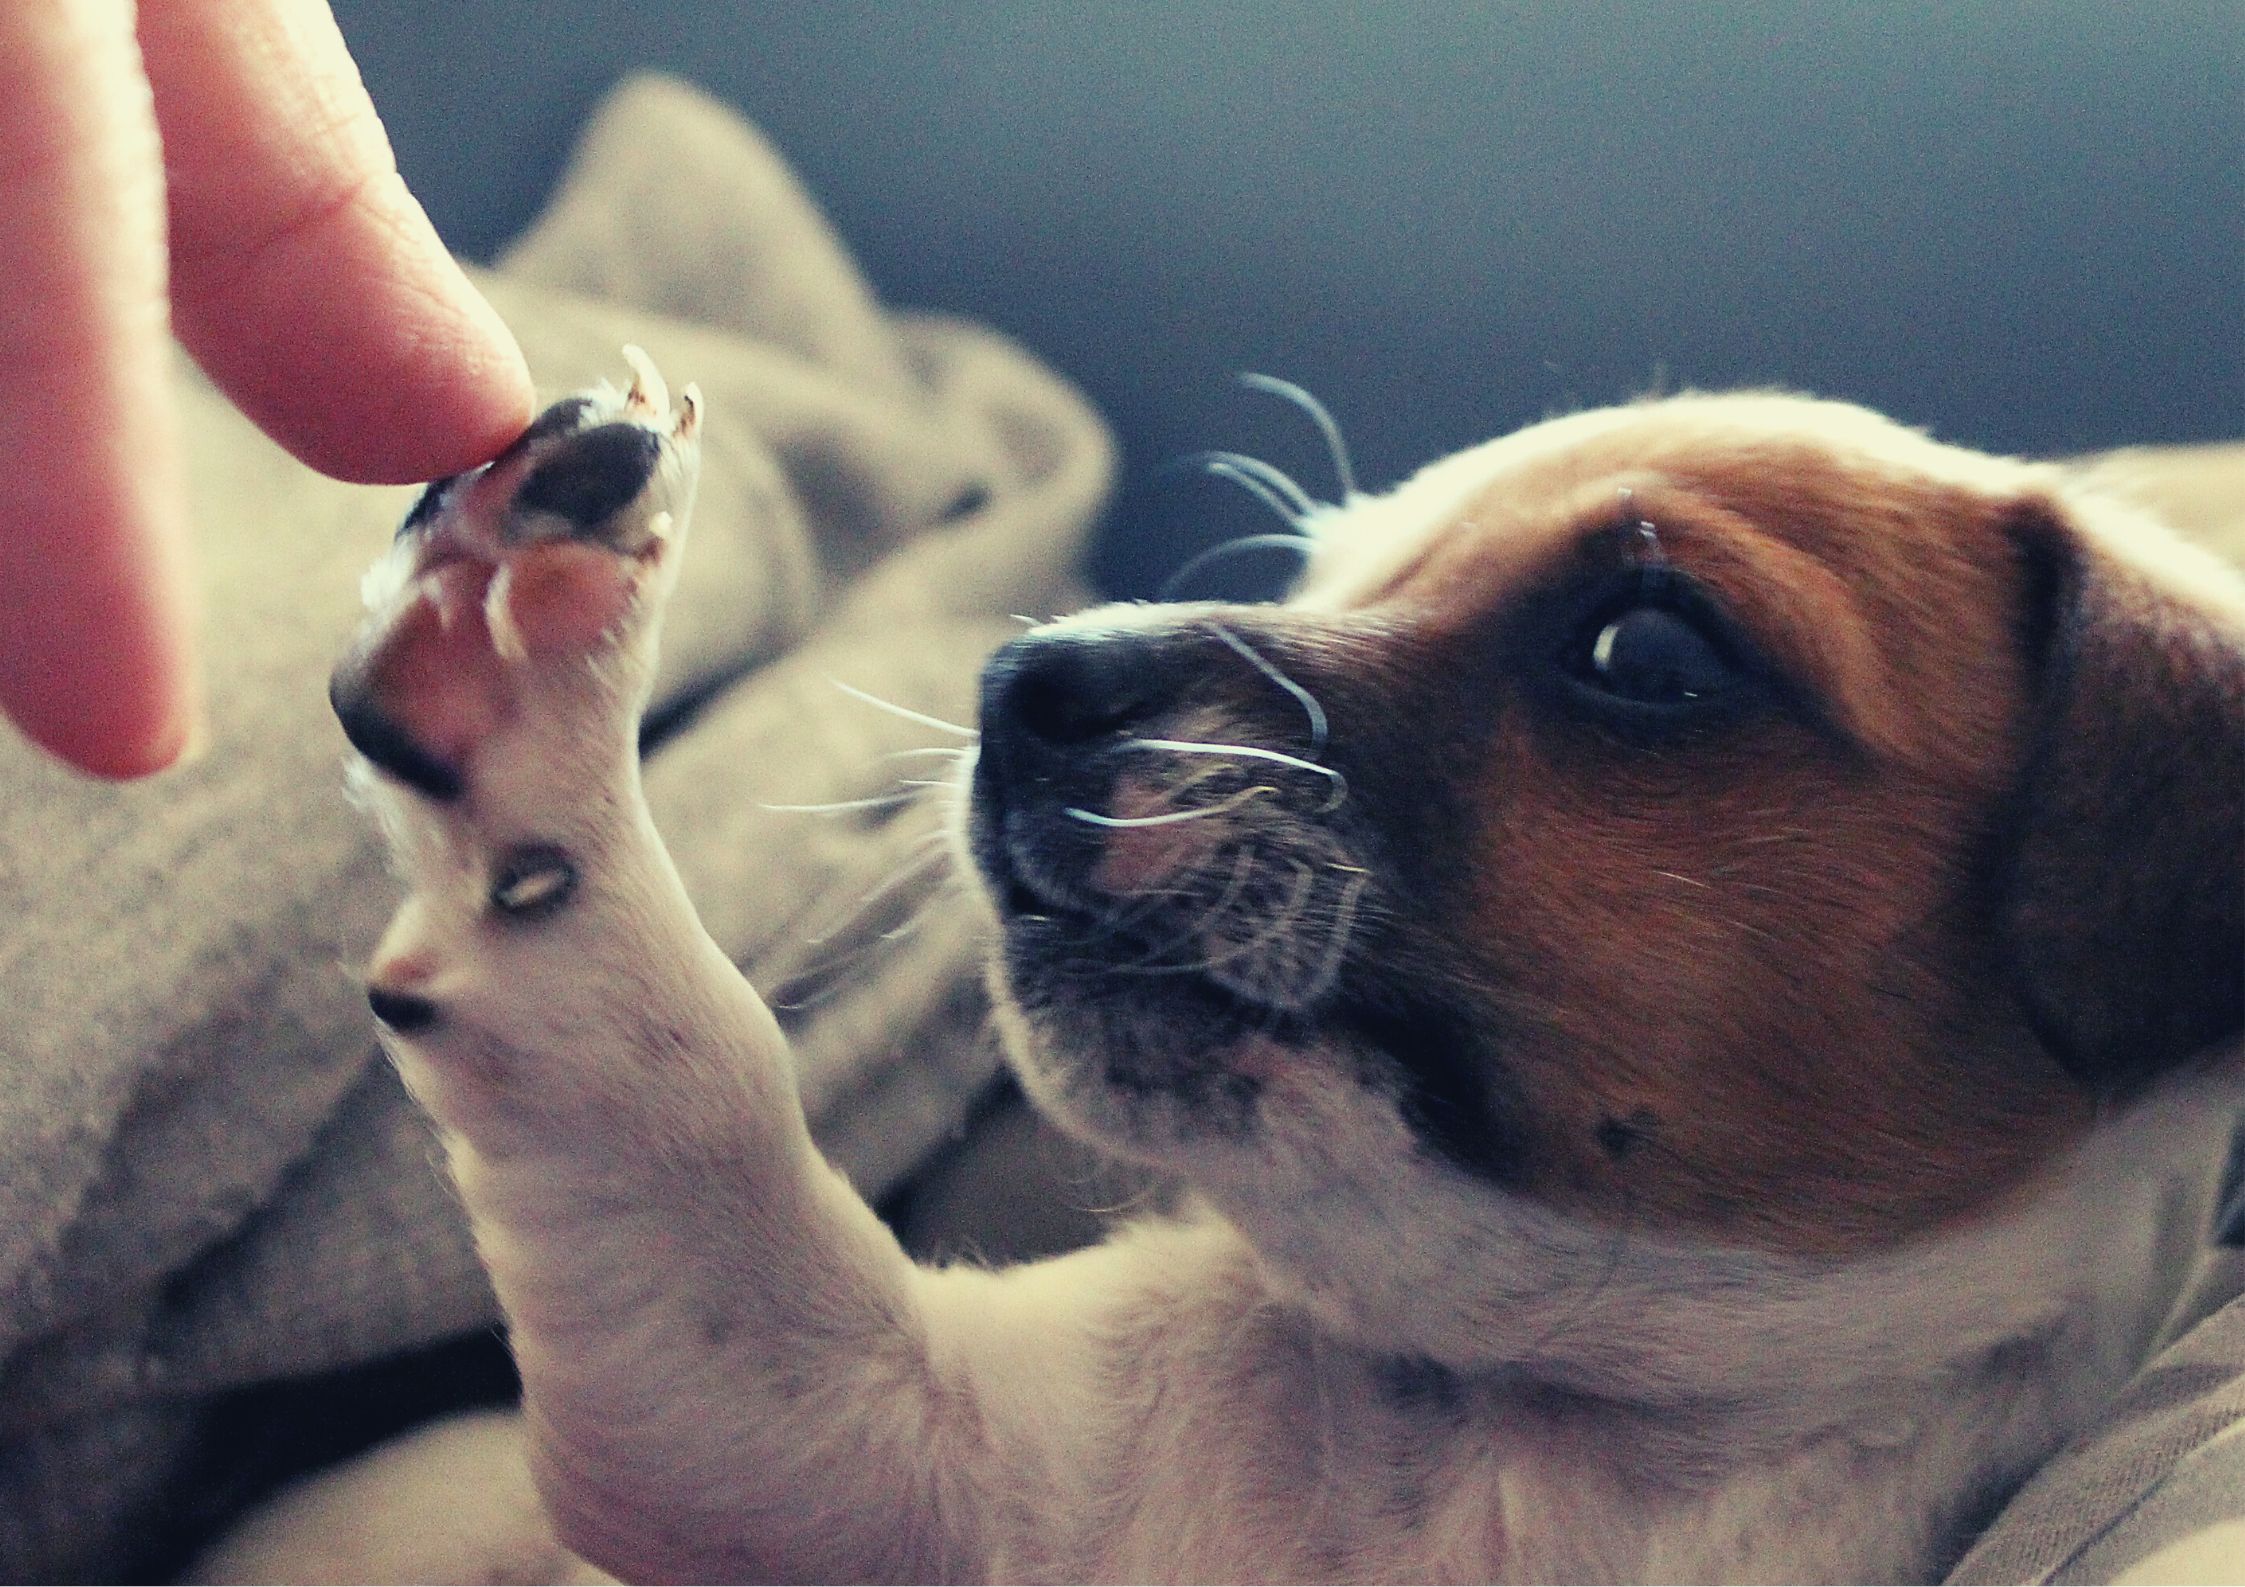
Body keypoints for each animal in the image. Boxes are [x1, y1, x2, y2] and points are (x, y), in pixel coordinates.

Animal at [289, 374, 2236, 1587]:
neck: (1483, 1420)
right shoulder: (812, 1436)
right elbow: (681, 1068)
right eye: (1324, 570)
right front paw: (519, 643)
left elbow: (671, 1070)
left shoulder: (762, 1437)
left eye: (1648, 650)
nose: (1021, 681)